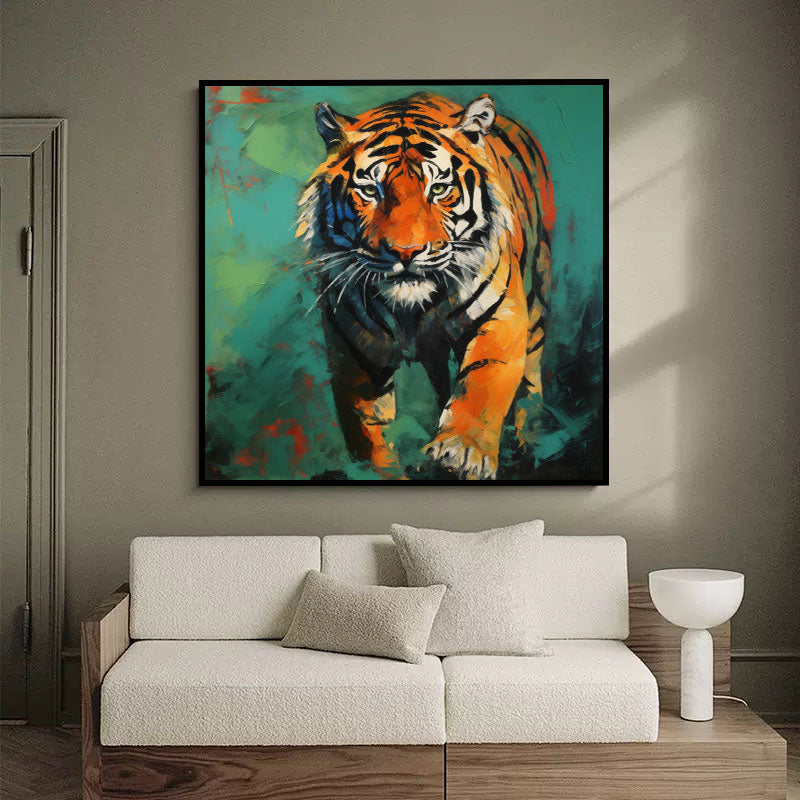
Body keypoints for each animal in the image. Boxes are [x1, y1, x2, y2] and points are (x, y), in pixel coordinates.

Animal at [296, 92, 554, 480]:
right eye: (370, 191)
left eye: (439, 189)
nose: (406, 252)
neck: (413, 311)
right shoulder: (354, 349)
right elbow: (366, 428)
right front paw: (380, 472)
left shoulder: (501, 316)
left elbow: (481, 385)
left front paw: (462, 451)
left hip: (537, 295)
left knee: (532, 374)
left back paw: (533, 438)